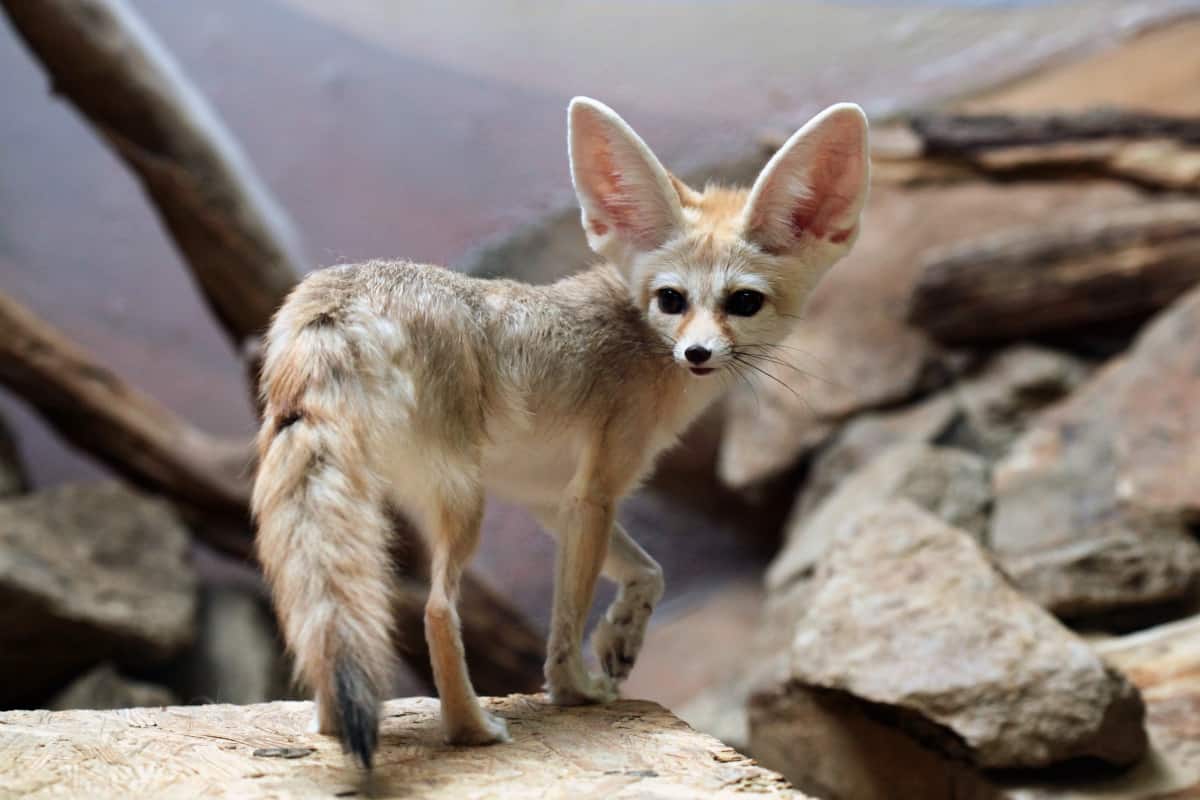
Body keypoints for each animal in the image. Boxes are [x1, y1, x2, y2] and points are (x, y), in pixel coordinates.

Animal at [255, 97, 873, 767]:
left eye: (744, 302)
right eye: (672, 299)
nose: (697, 353)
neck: (641, 338)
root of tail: (340, 300)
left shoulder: (548, 498)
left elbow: (650, 570)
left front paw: (622, 638)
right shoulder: (594, 493)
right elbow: (567, 617)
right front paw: (574, 688)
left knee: (325, 614)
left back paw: (328, 722)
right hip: (463, 505)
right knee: (437, 611)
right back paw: (470, 729)